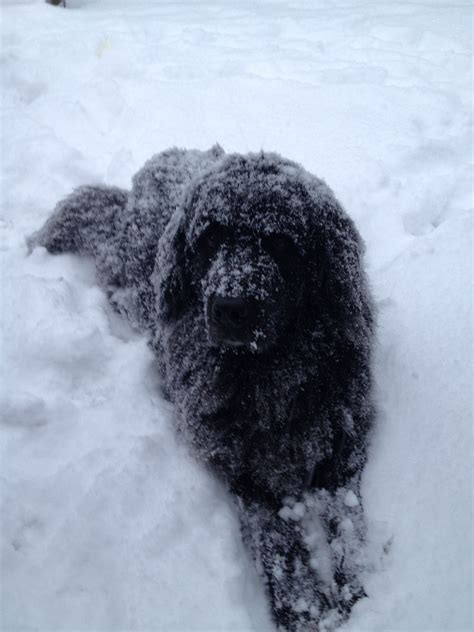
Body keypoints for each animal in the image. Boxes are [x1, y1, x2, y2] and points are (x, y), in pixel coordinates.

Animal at [30, 146, 378, 628]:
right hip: (139, 286)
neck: (267, 378)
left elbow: (348, 520)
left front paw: (355, 595)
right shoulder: (239, 467)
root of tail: (161, 160)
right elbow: (274, 538)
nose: (231, 307)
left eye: (280, 243)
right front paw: (301, 605)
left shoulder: (344, 445)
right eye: (211, 238)